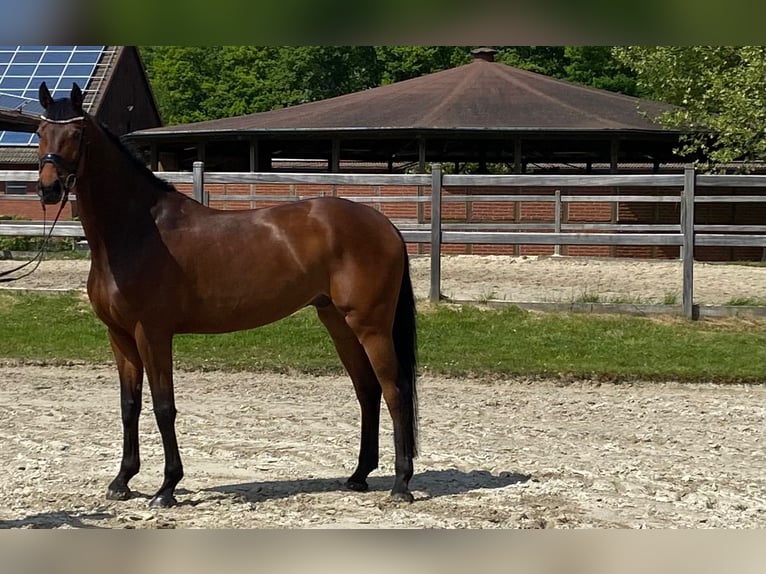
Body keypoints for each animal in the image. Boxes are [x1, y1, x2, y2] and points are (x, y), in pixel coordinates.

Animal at [35, 82, 418, 508]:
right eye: (40, 131)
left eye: (76, 133)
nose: (48, 188)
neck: (136, 231)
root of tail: (384, 224)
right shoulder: (119, 336)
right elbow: (129, 405)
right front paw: (122, 480)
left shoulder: (152, 333)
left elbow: (163, 406)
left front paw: (167, 487)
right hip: (338, 322)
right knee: (367, 390)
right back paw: (359, 475)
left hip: (371, 326)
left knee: (395, 391)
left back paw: (401, 483)